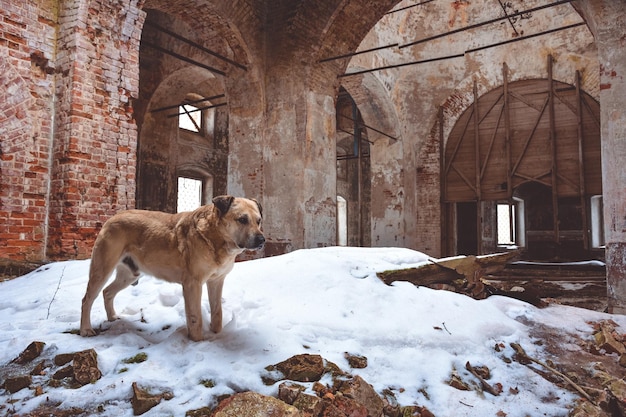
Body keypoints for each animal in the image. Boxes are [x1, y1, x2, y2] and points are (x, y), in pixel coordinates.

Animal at [78, 195, 264, 342]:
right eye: (242, 219)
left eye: (258, 221)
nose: (262, 240)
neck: (215, 238)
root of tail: (113, 218)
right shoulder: (192, 284)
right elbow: (195, 318)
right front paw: (197, 342)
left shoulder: (217, 281)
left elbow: (217, 313)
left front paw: (216, 334)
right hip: (102, 270)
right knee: (87, 299)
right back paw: (86, 329)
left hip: (129, 274)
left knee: (107, 292)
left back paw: (112, 318)